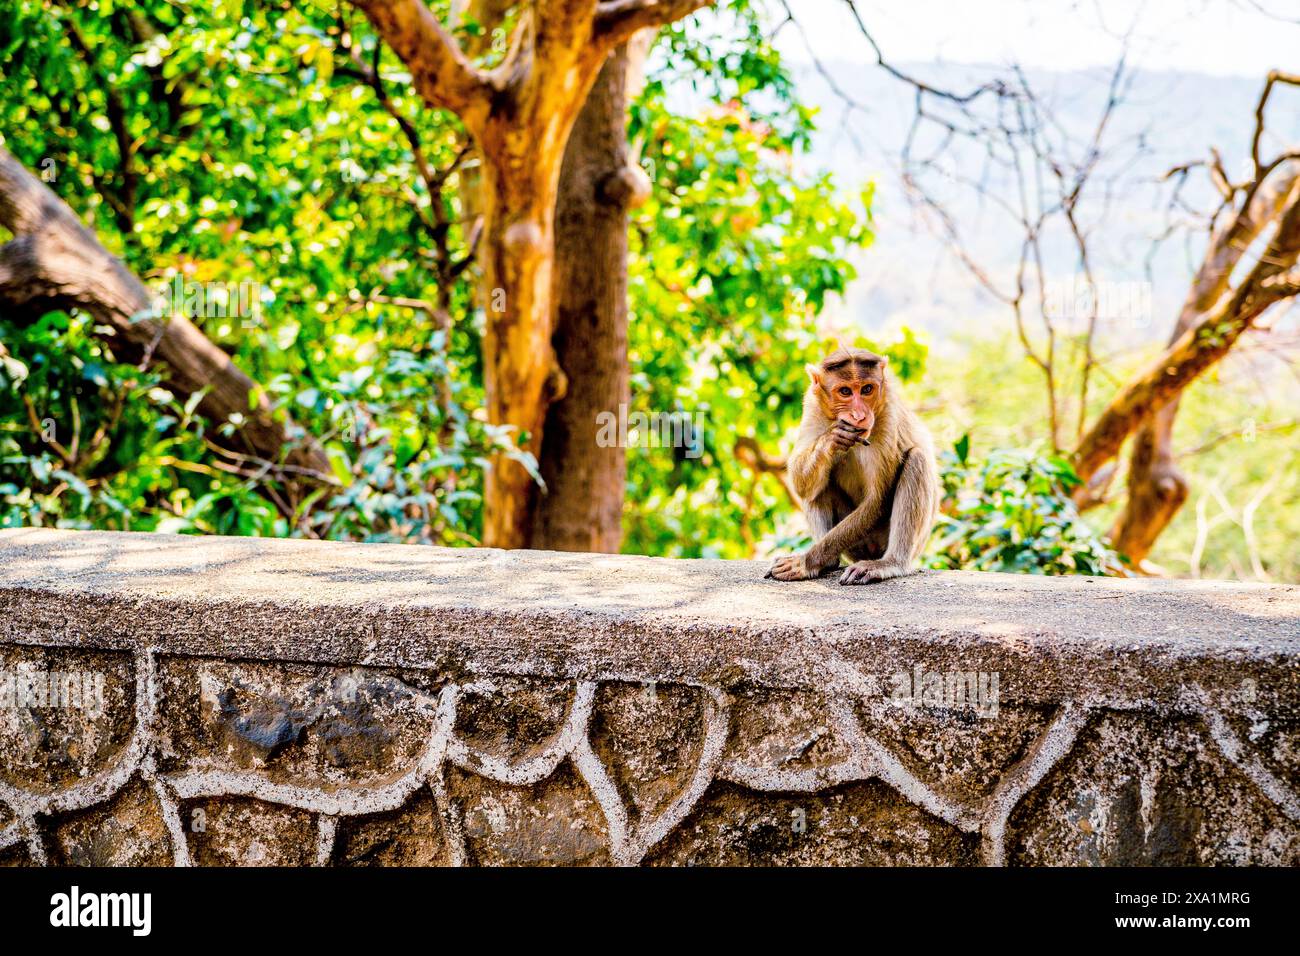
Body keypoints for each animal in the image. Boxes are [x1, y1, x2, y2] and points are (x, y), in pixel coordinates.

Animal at [764, 343, 941, 582]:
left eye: (867, 389)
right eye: (845, 392)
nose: (859, 416)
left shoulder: (889, 416)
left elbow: (877, 501)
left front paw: (804, 562)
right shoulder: (812, 405)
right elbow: (801, 483)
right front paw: (832, 439)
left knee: (917, 459)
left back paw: (890, 563)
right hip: (857, 547)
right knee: (817, 486)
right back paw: (828, 562)